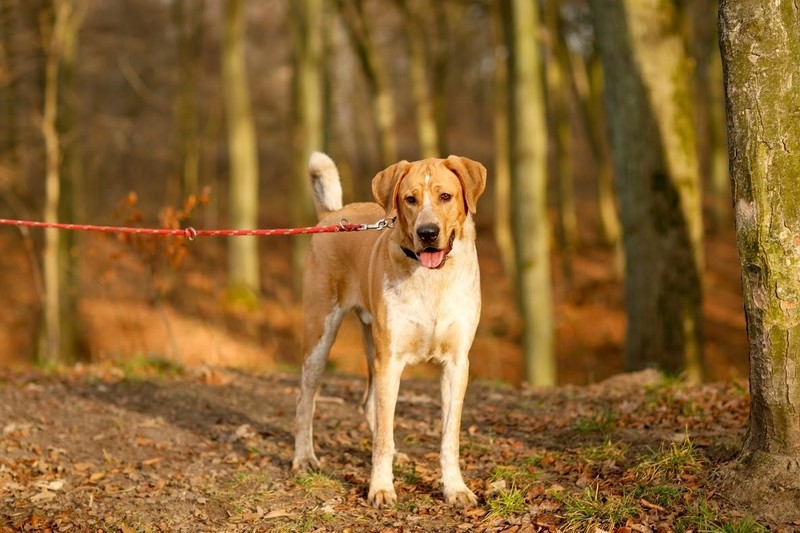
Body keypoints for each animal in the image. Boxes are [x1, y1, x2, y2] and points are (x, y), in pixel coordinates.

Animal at [290, 151, 484, 508]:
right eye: (410, 199)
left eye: (445, 196)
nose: (427, 232)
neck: (432, 278)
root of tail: (332, 214)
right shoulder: (390, 360)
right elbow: (383, 437)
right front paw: (380, 488)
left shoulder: (456, 363)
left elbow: (449, 436)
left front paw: (455, 488)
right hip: (321, 334)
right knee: (306, 399)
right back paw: (304, 457)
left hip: (370, 343)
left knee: (370, 405)